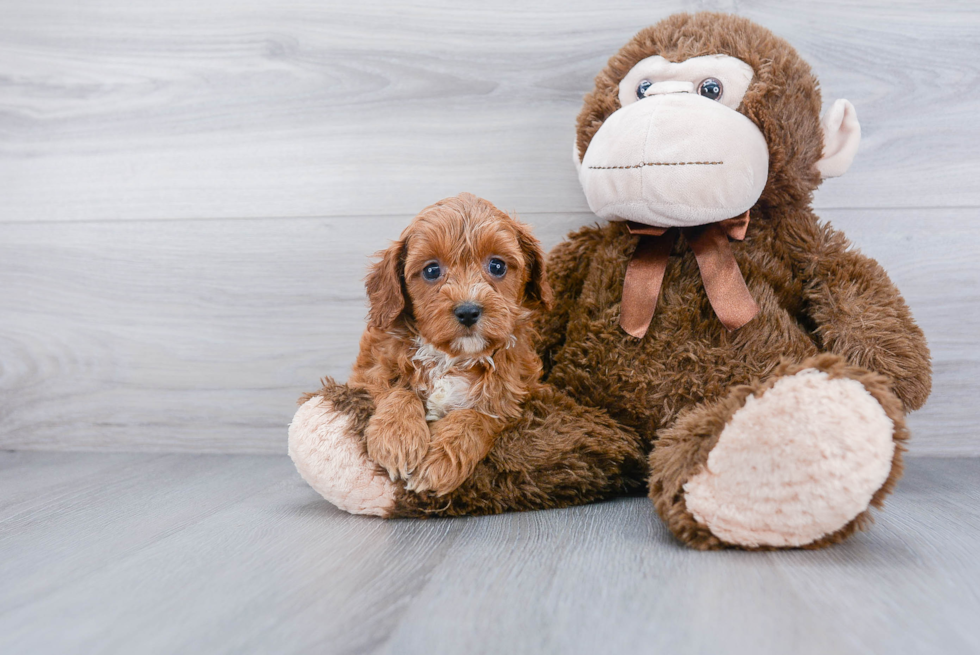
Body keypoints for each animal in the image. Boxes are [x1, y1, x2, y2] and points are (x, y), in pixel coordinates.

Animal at [348, 195, 552, 498]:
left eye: (497, 266)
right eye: (432, 270)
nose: (468, 311)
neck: (452, 358)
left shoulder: (517, 397)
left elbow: (476, 417)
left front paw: (439, 462)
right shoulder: (368, 374)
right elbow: (398, 390)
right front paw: (397, 438)